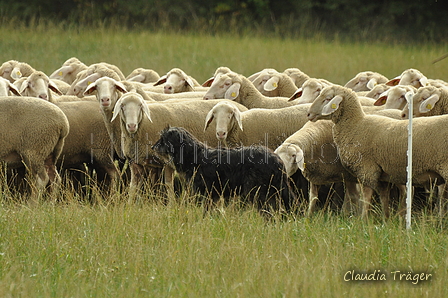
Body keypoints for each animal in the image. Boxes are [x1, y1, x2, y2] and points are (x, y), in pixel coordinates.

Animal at [152, 125, 296, 214]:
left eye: (163, 139)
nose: (153, 147)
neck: (195, 155)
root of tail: (276, 159)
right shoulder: (214, 195)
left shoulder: (207, 193)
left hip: (259, 192)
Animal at [308, 85, 448, 218]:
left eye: (327, 99)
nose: (309, 114)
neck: (355, 125)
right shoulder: (382, 174)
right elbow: (383, 197)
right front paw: (386, 219)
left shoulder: (367, 169)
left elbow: (366, 197)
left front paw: (363, 219)